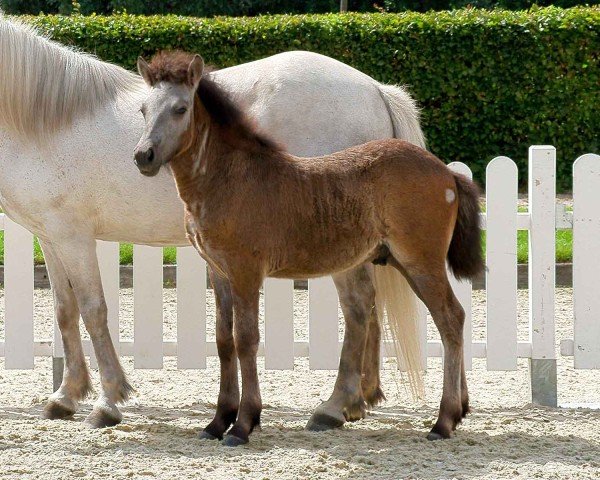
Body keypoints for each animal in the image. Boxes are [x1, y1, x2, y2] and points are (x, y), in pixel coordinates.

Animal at [0, 15, 424, 430]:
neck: (46, 124)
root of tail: (375, 88)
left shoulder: (74, 239)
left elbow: (94, 311)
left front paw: (109, 401)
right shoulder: (51, 238)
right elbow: (65, 310)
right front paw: (65, 397)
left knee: (357, 306)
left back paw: (334, 407)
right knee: (369, 307)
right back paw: (358, 401)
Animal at [135, 52, 482, 446]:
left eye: (180, 108)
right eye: (143, 109)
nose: (143, 155)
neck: (230, 177)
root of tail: (448, 173)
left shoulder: (245, 271)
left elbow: (246, 339)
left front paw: (243, 424)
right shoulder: (219, 272)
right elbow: (224, 340)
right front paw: (217, 421)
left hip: (420, 262)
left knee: (450, 319)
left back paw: (443, 420)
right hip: (400, 262)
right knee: (439, 318)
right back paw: (455, 411)